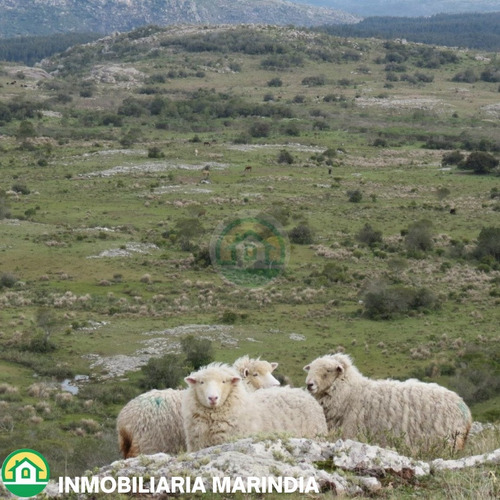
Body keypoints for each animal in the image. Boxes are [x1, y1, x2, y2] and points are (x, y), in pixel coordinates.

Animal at [302, 352, 470, 454]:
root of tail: (465, 411)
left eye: (328, 370)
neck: (351, 393)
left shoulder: (351, 432)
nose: (309, 384)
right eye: (310, 368)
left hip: (445, 441)